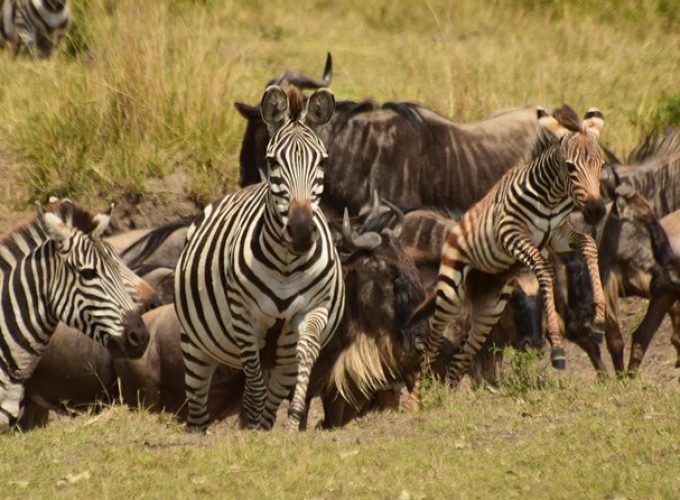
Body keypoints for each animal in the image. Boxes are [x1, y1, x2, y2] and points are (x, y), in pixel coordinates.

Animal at [175, 85, 346, 430]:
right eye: (272, 161)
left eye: (323, 162)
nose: (302, 231)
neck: (287, 264)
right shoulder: (245, 317)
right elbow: (252, 383)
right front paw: (251, 426)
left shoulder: (313, 310)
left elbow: (306, 357)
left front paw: (294, 420)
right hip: (195, 345)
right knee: (199, 405)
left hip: (279, 357)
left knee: (273, 394)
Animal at [412, 106, 608, 386]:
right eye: (570, 167)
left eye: (602, 165)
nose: (596, 211)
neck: (551, 198)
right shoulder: (510, 234)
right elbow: (543, 269)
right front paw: (557, 349)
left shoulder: (557, 236)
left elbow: (590, 245)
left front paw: (600, 316)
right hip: (450, 291)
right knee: (434, 339)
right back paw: (425, 385)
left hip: (490, 309)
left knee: (463, 355)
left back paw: (451, 388)